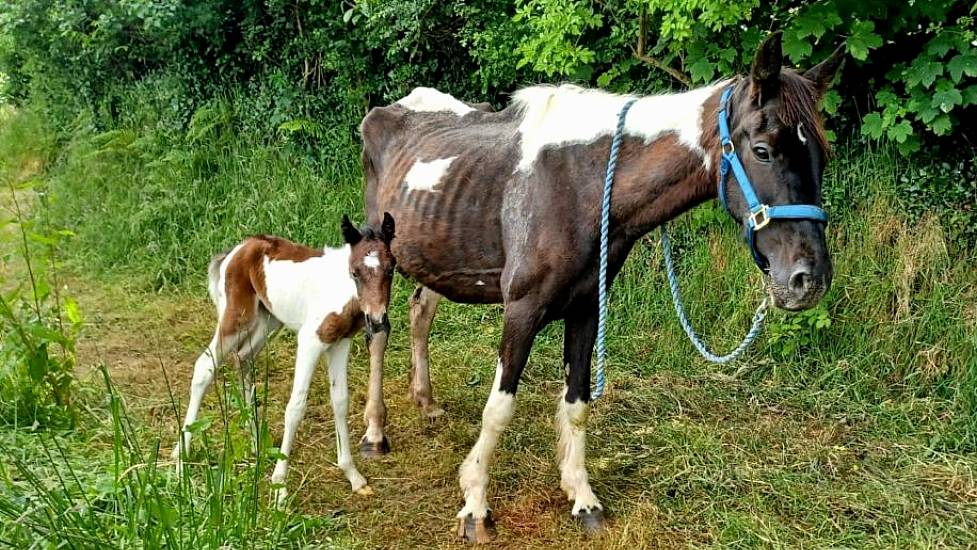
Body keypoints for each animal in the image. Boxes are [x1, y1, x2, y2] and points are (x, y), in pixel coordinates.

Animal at [173, 213, 396, 506]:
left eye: (391, 269)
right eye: (355, 272)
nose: (377, 319)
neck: (341, 292)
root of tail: (238, 249)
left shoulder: (340, 344)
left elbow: (340, 401)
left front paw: (353, 475)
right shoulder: (310, 342)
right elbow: (296, 407)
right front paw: (279, 486)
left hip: (268, 321)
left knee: (243, 359)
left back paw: (256, 440)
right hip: (237, 317)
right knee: (205, 366)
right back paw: (181, 455)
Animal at [356, 32, 840, 544]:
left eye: (822, 155)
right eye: (763, 150)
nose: (808, 279)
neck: (582, 187)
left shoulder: (588, 307)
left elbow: (577, 403)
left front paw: (582, 497)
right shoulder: (522, 309)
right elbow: (499, 409)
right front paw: (475, 506)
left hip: (434, 258)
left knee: (420, 314)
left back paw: (426, 402)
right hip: (377, 253)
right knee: (378, 331)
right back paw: (374, 434)